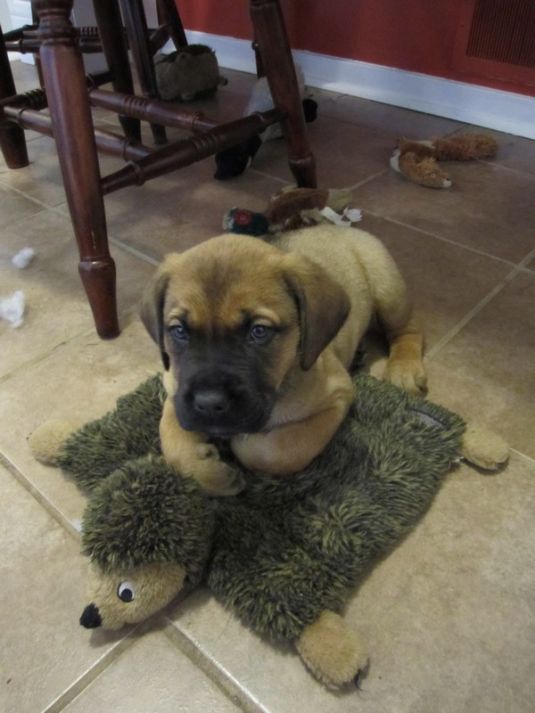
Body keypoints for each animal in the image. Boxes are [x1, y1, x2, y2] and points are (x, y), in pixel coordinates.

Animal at [141, 225, 428, 492]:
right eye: (179, 331)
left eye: (259, 331)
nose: (209, 404)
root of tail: (342, 228)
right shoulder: (175, 391)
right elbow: (170, 436)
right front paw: (209, 472)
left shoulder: (337, 398)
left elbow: (277, 451)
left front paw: (239, 445)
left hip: (388, 290)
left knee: (408, 329)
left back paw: (404, 370)